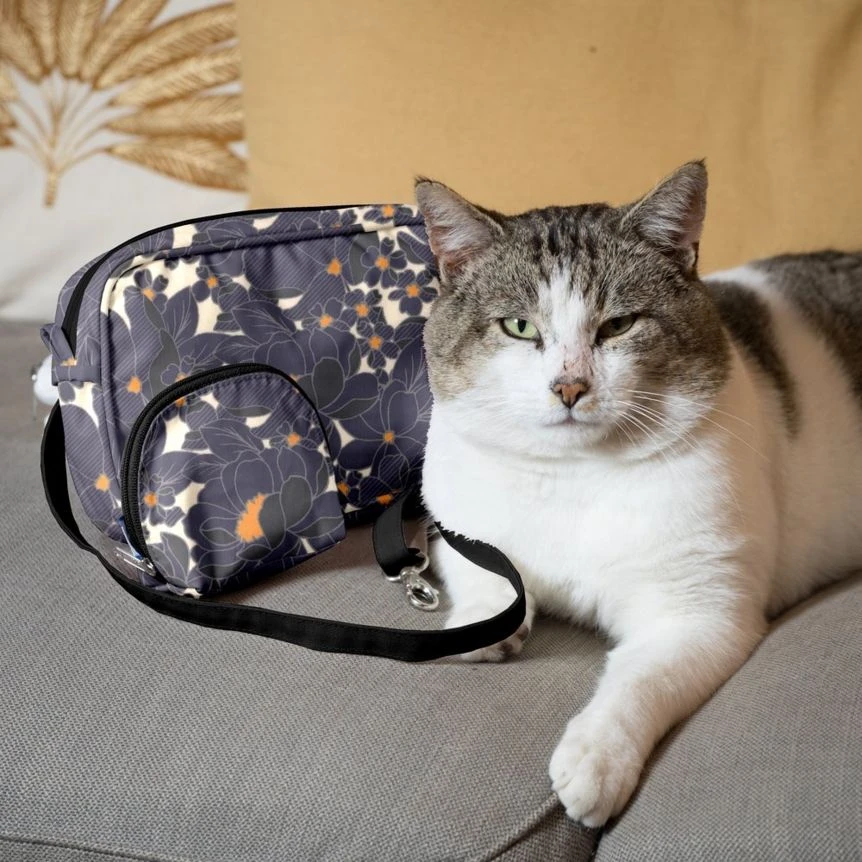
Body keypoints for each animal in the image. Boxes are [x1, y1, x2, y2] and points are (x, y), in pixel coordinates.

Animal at [414, 161, 862, 828]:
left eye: (619, 325)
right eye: (519, 327)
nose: (569, 386)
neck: (574, 477)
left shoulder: (698, 615)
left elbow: (639, 682)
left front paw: (596, 759)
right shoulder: (456, 524)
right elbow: (485, 572)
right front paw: (484, 620)